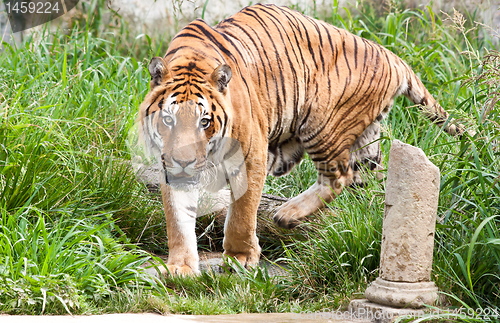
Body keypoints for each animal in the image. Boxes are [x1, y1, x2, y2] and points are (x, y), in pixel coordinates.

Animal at [139, 2, 462, 276]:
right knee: (369, 180)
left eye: (204, 121)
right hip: (366, 143)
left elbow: (242, 212)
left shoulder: (251, 155)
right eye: (168, 120)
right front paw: (180, 266)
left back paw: (287, 213)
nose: (184, 161)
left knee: (340, 176)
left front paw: (240, 258)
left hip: (320, 124)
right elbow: (177, 219)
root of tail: (391, 57)